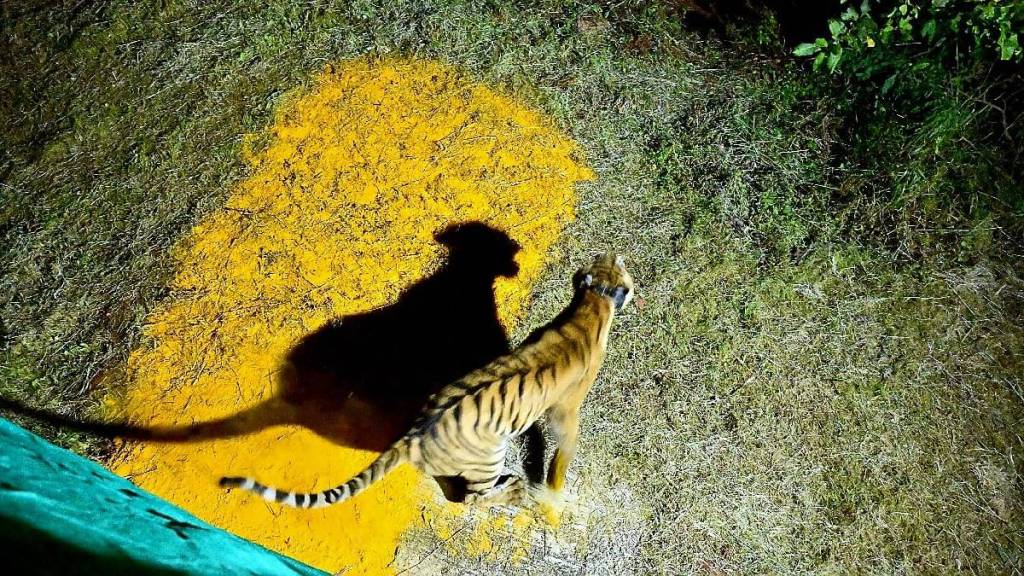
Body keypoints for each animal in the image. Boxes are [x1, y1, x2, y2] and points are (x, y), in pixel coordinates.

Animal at [219, 252, 634, 508]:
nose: (613, 255)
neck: (591, 303)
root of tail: (411, 438)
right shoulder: (567, 411)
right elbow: (564, 448)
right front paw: (554, 491)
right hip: (491, 454)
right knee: (471, 499)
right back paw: (514, 491)